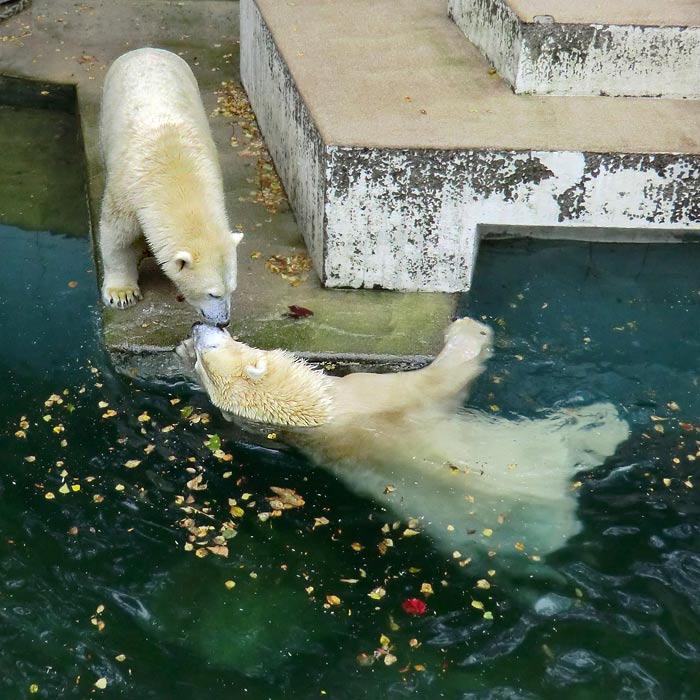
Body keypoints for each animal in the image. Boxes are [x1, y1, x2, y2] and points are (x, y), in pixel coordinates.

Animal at [97, 47, 242, 326]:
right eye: (212, 293)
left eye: (232, 289)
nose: (223, 322)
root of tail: (147, 49)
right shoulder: (127, 193)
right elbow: (116, 236)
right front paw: (122, 294)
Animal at [180, 320, 628, 568]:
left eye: (207, 350)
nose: (197, 328)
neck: (320, 408)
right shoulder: (378, 391)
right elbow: (442, 378)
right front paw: (469, 330)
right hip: (528, 458)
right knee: (560, 443)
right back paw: (603, 422)